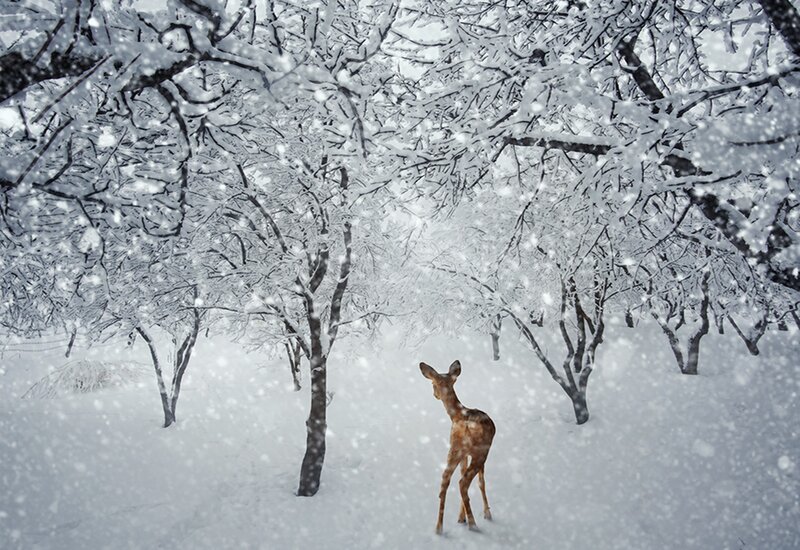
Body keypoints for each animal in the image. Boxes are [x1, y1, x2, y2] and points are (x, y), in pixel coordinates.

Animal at [419, 359, 496, 534]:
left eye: (433, 384)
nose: (435, 394)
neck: (456, 414)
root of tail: (466, 424)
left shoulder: (464, 454)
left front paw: (461, 517)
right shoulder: (479, 453)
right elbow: (481, 482)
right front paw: (486, 514)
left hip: (454, 448)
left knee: (445, 480)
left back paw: (439, 528)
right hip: (480, 452)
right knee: (463, 482)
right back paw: (473, 524)